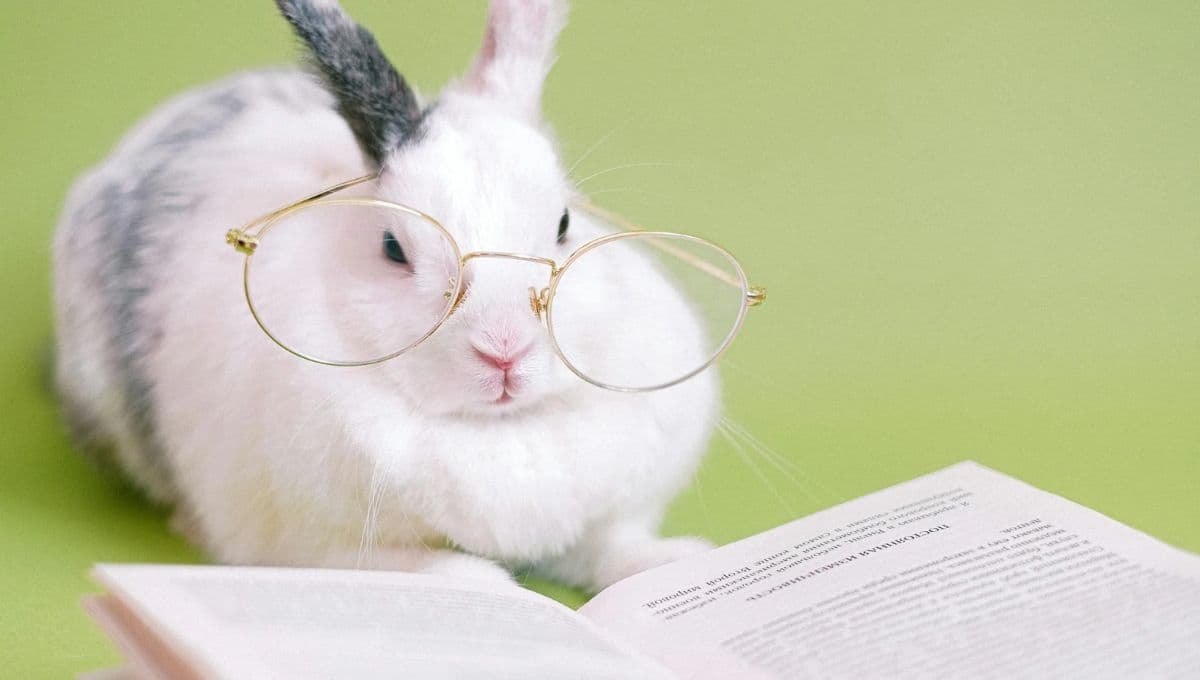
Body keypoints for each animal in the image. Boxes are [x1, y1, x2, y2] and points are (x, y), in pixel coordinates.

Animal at [53, 0, 719, 592]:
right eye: (393, 248)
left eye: (563, 224)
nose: (504, 350)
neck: (496, 430)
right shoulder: (306, 543)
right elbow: (404, 567)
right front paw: (483, 583)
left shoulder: (604, 519)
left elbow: (611, 550)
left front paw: (676, 560)